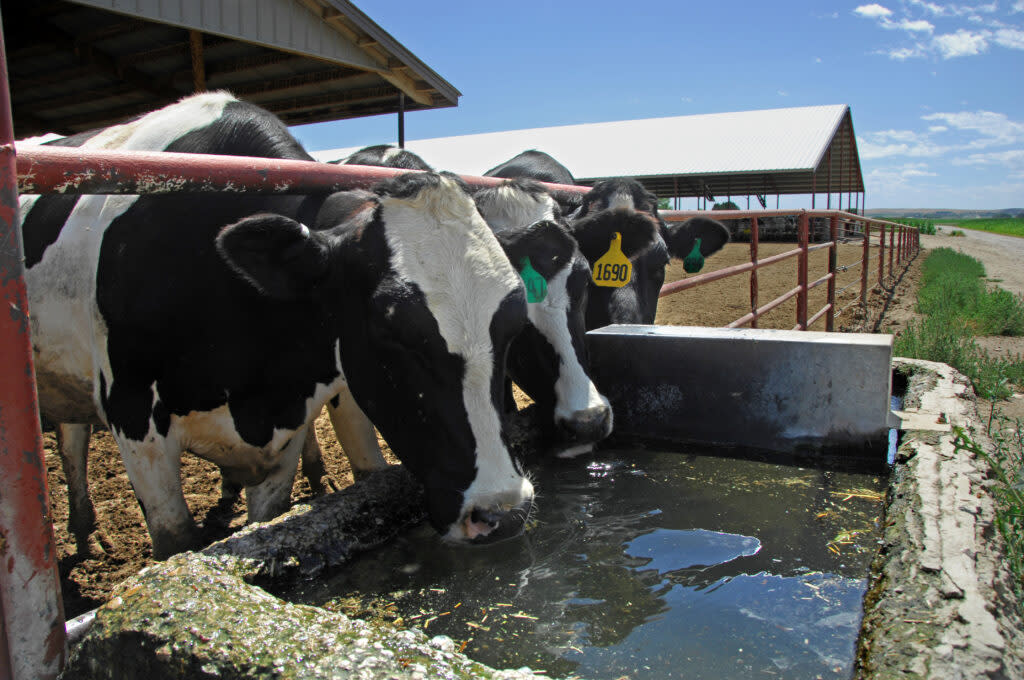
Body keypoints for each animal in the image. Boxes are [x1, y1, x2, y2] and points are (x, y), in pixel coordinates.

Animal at [22, 91, 536, 557]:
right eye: (390, 329)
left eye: (512, 328)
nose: (502, 512)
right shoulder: (132, 415)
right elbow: (176, 541)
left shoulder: (286, 426)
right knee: (71, 441)